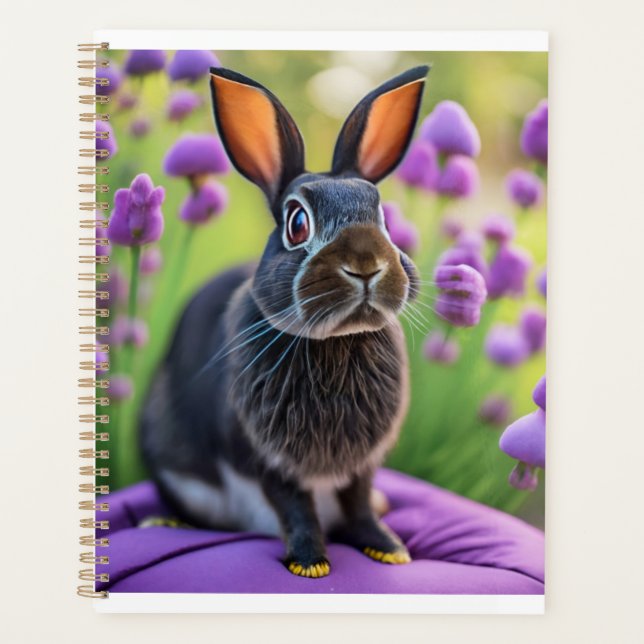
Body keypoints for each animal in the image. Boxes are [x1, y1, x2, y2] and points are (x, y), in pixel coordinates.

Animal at [140, 64, 430, 578]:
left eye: (383, 218)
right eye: (297, 223)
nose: (367, 265)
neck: (337, 341)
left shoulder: (361, 465)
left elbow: (358, 503)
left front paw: (389, 548)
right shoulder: (268, 461)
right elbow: (294, 507)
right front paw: (310, 563)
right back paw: (166, 525)